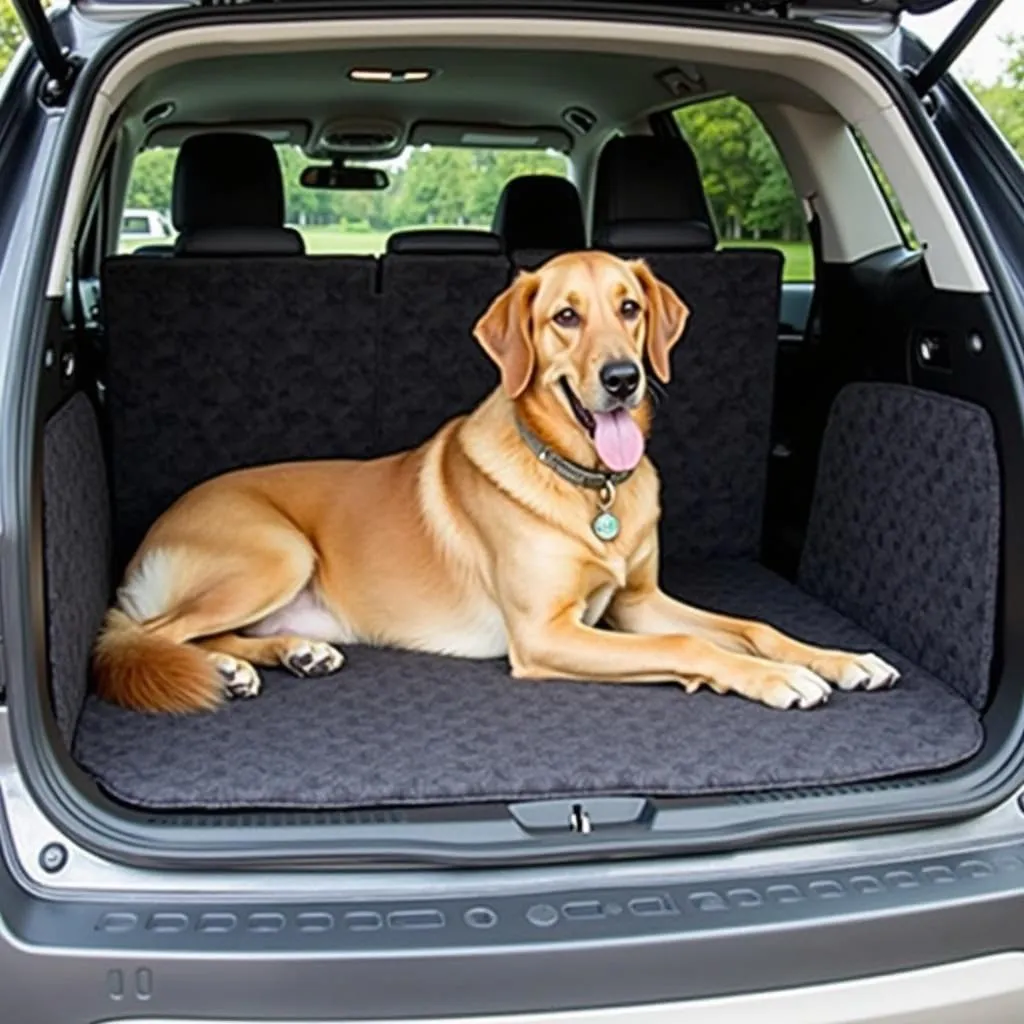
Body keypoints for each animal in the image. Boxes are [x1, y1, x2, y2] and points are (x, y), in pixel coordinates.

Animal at [94, 249, 897, 712]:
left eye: (629, 307)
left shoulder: (635, 604)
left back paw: (284, 655)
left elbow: (753, 627)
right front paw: (775, 679)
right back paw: (225, 668)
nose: (622, 378)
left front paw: (839, 659)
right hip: (276, 551)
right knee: (141, 637)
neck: (588, 485)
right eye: (565, 317)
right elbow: (692, 648)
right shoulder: (546, 635)